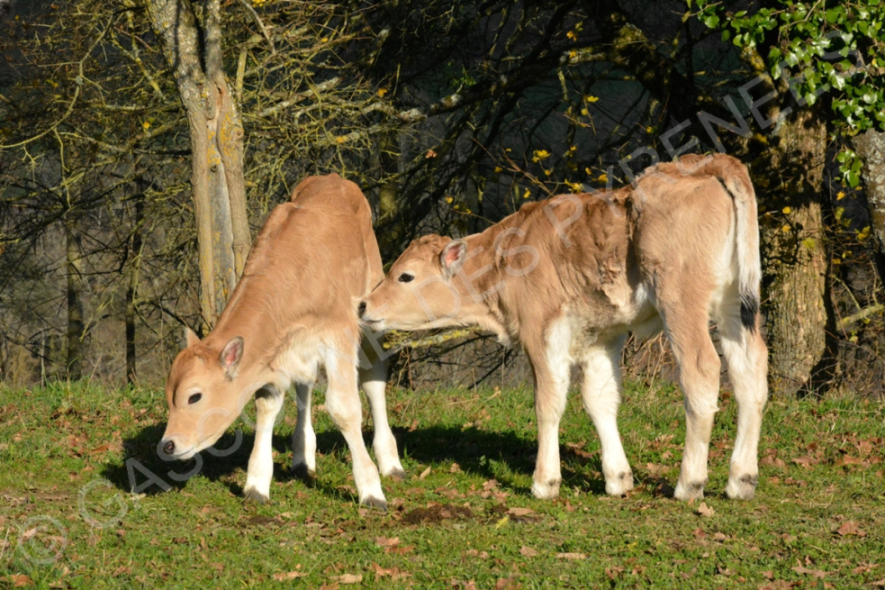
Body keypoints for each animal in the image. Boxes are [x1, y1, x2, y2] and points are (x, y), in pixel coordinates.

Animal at [161, 175, 402, 508]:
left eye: (194, 397)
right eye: (168, 394)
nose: (167, 445)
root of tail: (334, 179)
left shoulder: (338, 334)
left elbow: (344, 408)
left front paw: (370, 489)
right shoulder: (275, 355)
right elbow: (266, 408)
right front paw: (257, 483)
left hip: (371, 311)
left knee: (373, 380)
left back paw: (390, 462)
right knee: (305, 386)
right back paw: (303, 457)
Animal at [360, 154, 768, 504]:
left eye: (406, 276)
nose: (364, 304)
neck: (504, 257)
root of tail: (707, 162)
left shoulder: (541, 334)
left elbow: (548, 403)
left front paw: (545, 481)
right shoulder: (598, 336)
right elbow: (600, 400)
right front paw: (618, 478)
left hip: (680, 299)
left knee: (702, 370)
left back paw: (690, 482)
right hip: (734, 304)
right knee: (750, 370)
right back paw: (741, 478)